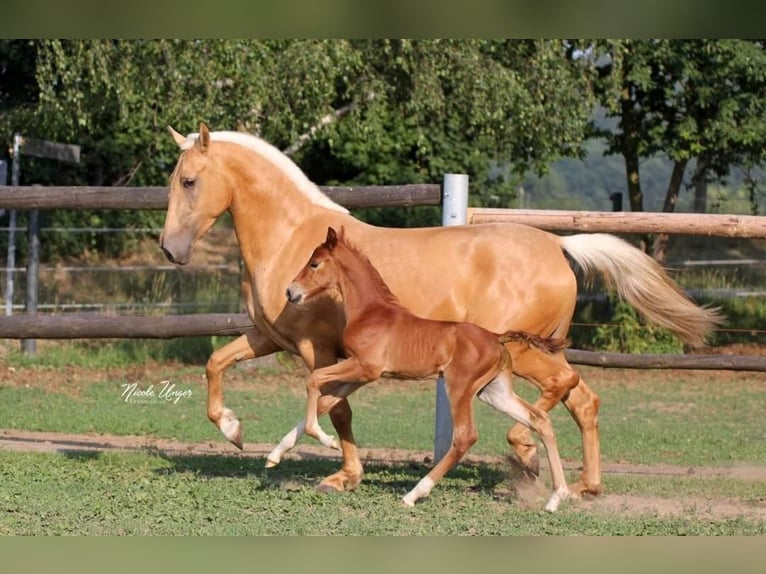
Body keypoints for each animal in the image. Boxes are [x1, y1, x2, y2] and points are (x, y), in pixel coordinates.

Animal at [282, 225, 571, 510]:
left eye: (314, 263)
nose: (290, 292)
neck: (371, 313)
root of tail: (496, 337)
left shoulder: (365, 367)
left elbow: (314, 379)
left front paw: (325, 439)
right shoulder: (360, 375)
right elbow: (327, 401)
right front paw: (277, 454)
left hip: (460, 387)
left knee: (465, 436)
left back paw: (413, 494)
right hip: (494, 392)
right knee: (538, 419)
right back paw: (556, 497)